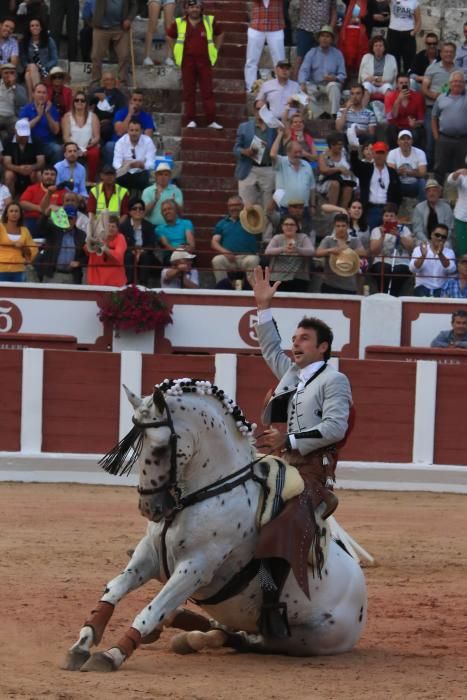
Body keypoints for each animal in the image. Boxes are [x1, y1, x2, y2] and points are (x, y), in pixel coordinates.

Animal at [63, 378, 370, 672]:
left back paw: (188, 633)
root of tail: (362, 599)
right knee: (227, 633)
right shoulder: (148, 555)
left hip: (304, 639)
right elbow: (114, 589)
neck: (207, 491)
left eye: (161, 449)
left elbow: (152, 610)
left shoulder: (194, 568)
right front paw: (82, 643)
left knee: (249, 640)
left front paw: (112, 654)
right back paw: (184, 629)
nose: (150, 508)